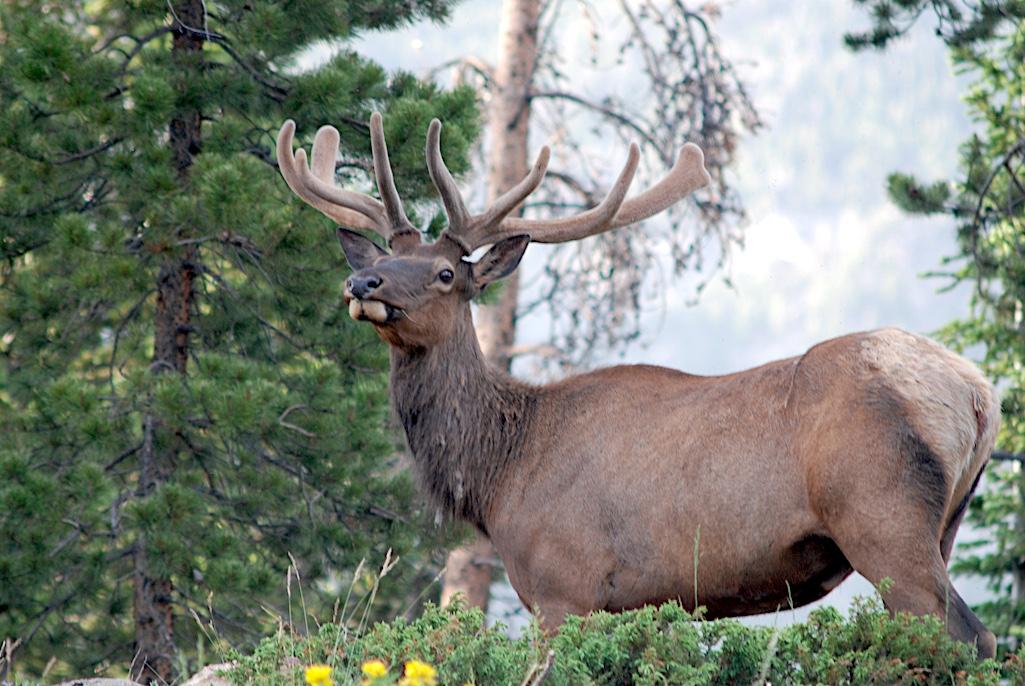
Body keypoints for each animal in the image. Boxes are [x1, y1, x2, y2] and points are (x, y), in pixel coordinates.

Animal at [276, 113, 996, 656]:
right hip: (944, 525)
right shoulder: (639, 604)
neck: (499, 472)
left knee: (963, 635)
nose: (362, 282)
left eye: (447, 273)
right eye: (387, 255)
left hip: (882, 517)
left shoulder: (564, 586)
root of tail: (980, 396)